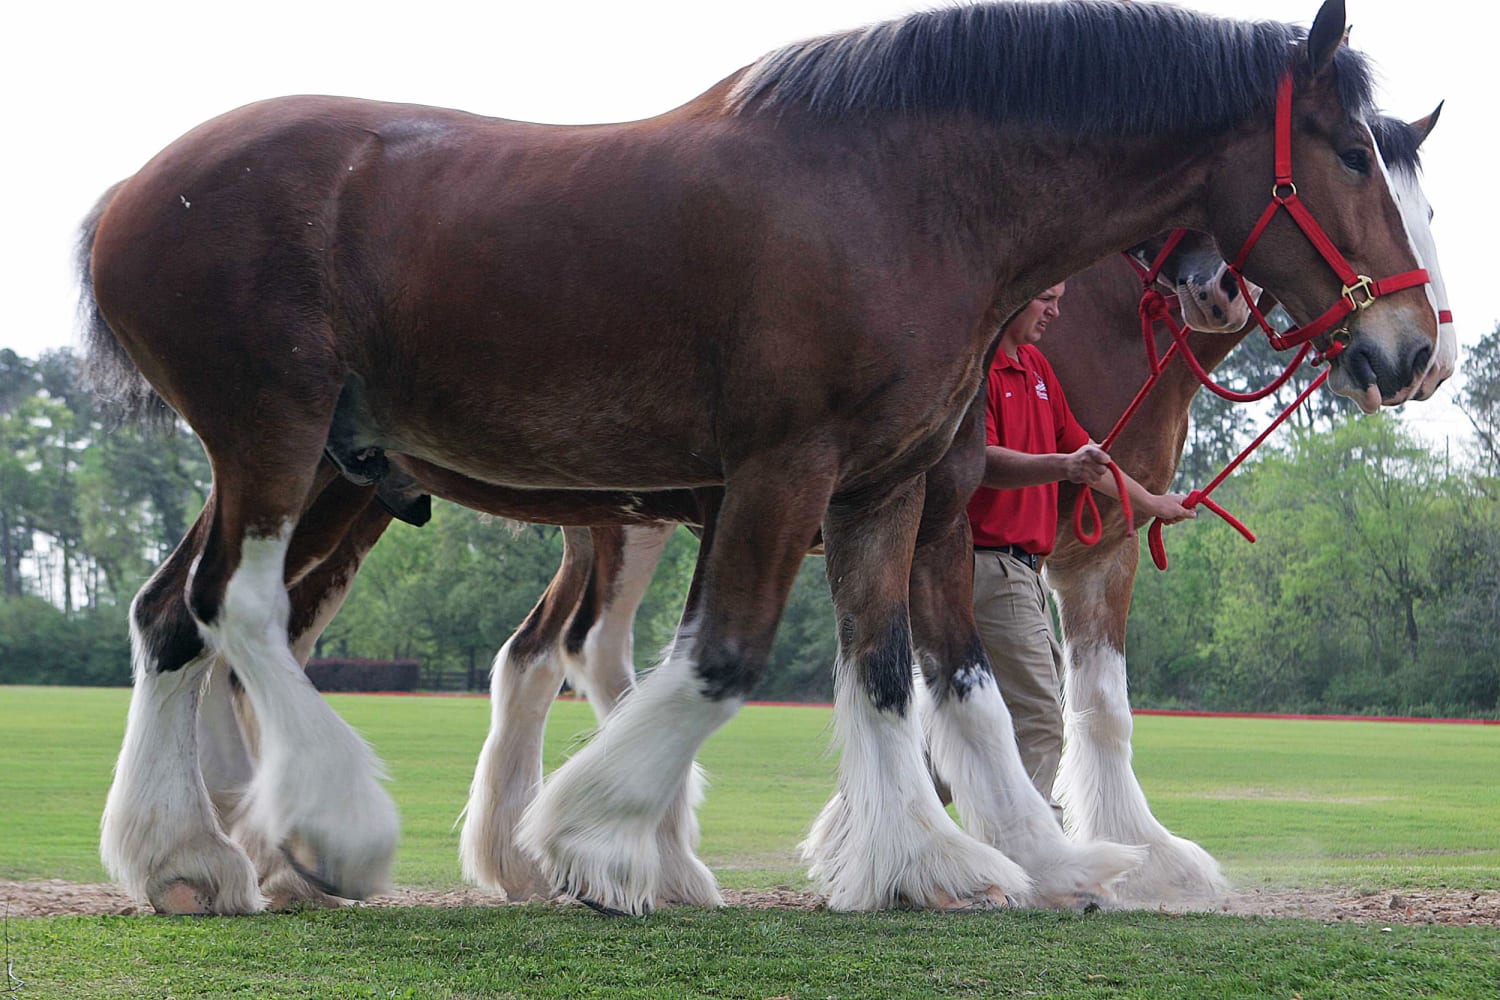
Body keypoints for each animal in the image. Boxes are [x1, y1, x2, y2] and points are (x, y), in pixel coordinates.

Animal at [80, 0, 1442, 915]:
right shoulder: (789, 474)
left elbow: (905, 674)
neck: (902, 192)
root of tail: (130, 197)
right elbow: (730, 657)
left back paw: (189, 856)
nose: (1412, 348)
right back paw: (328, 828)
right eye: (1352, 154)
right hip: (280, 432)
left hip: (311, 461)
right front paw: (591, 836)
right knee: (246, 610)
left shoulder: (887, 488)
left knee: (174, 615)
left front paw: (945, 860)